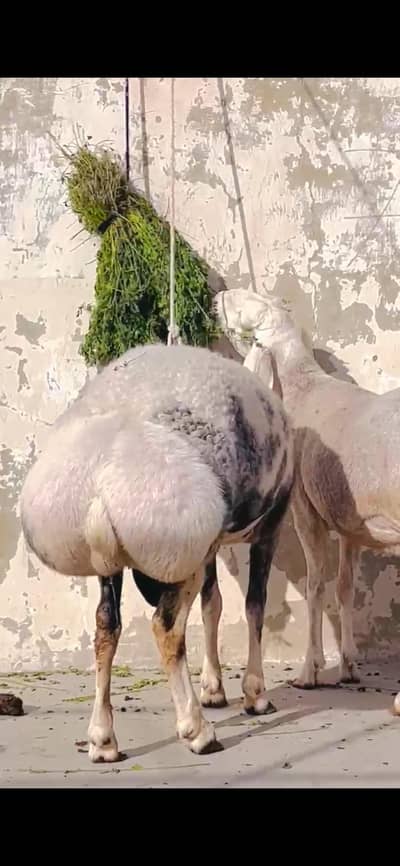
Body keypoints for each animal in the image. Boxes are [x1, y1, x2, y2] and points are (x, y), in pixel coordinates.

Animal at [20, 342, 294, 760]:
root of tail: (101, 488)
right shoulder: (268, 530)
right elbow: (254, 606)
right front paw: (255, 695)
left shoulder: (210, 546)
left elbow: (213, 605)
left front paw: (213, 688)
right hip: (178, 551)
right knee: (165, 628)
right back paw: (197, 731)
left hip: (119, 561)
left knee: (106, 626)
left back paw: (102, 739)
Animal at [216, 288, 400, 713]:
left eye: (249, 303)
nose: (219, 296)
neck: (300, 381)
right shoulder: (350, 522)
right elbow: (345, 587)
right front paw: (348, 665)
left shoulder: (306, 509)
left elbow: (316, 586)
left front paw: (309, 671)